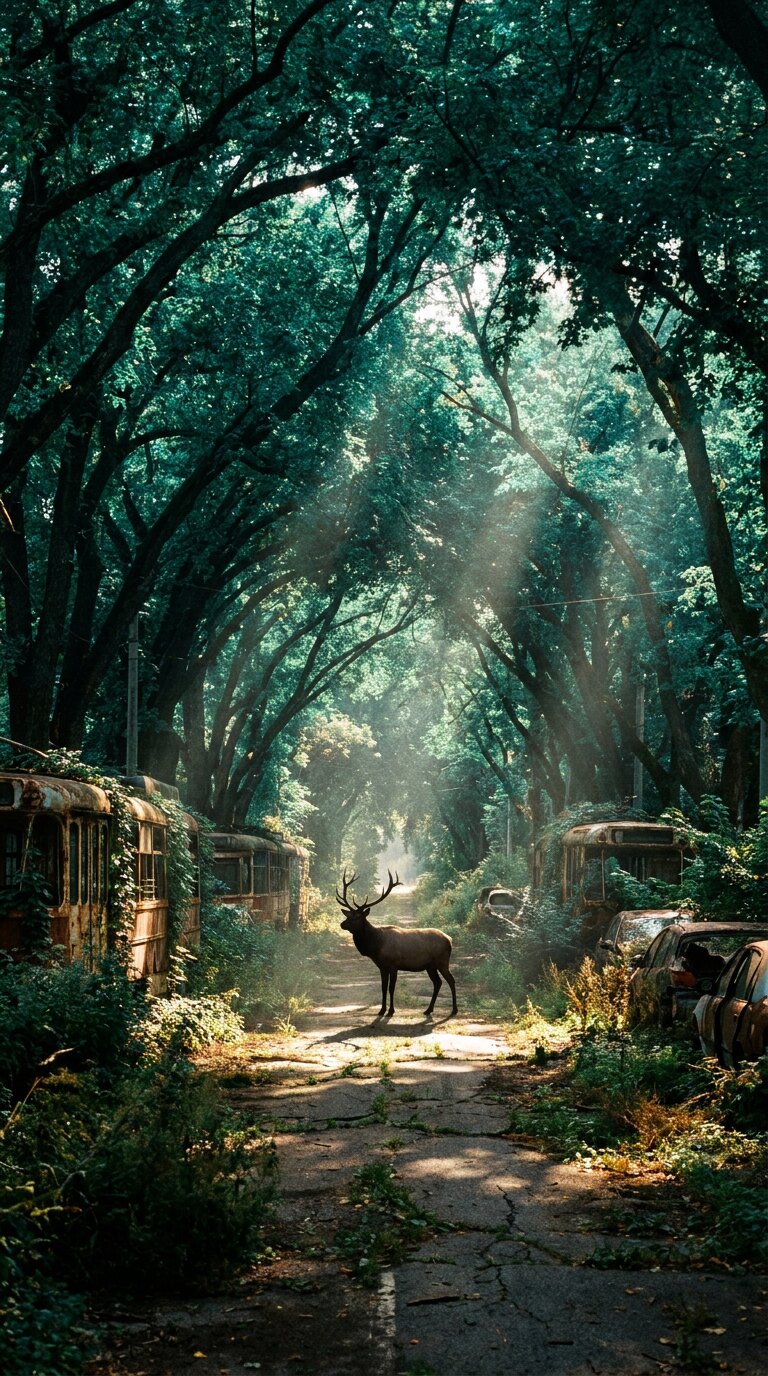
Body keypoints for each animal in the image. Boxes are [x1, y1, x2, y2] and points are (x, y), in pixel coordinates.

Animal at [336, 870, 457, 1019]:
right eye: (348, 915)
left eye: (357, 916)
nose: (342, 924)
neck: (376, 946)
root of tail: (449, 939)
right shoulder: (382, 967)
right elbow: (383, 987)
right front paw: (381, 1010)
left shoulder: (394, 965)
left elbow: (391, 988)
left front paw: (391, 1011)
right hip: (430, 965)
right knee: (438, 982)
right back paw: (428, 1010)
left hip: (442, 961)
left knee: (451, 980)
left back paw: (454, 1010)